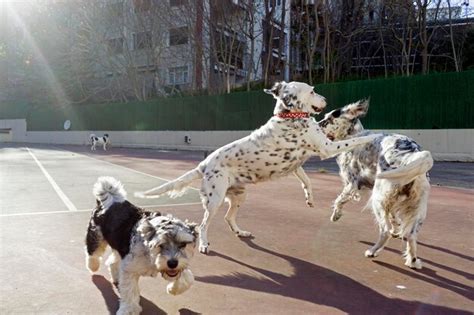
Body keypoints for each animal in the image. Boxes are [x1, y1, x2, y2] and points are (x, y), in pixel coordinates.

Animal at [84, 177, 196, 314]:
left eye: (183, 244)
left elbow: (187, 277)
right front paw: (128, 310)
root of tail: (110, 201)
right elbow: (130, 292)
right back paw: (93, 266)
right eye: (161, 244)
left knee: (112, 261)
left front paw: (173, 289)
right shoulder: (129, 269)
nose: (172, 263)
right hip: (96, 236)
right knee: (93, 253)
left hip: (119, 246)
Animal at [135, 81, 380, 254]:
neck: (290, 116)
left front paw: (309, 199)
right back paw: (204, 244)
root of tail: (203, 164)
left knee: (228, 218)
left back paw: (240, 232)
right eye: (312, 91)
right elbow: (356, 140)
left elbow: (307, 181)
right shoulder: (326, 148)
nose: (326, 99)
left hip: (239, 196)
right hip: (214, 201)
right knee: (203, 225)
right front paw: (374, 135)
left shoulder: (297, 165)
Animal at [318, 100, 434, 270]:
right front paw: (397, 228)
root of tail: (411, 154)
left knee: (385, 230)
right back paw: (413, 261)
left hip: (377, 199)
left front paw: (336, 215)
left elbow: (339, 200)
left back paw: (372, 251)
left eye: (328, 119)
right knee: (410, 235)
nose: (316, 125)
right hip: (415, 207)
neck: (354, 136)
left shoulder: (352, 184)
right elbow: (394, 217)